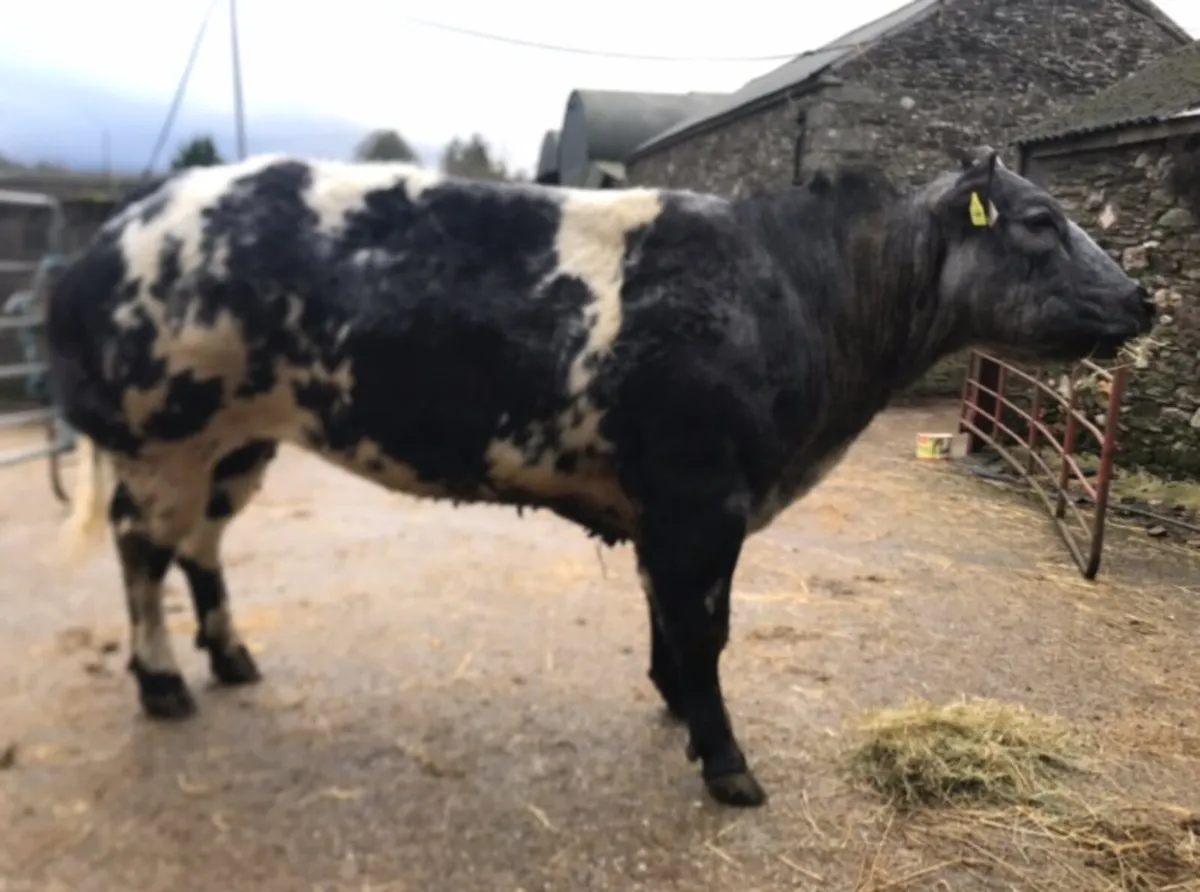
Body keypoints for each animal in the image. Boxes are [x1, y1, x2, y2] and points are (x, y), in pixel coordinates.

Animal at [45, 148, 1155, 808]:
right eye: (1041, 221)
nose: (1143, 299)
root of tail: (119, 226)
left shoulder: (672, 508)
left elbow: (670, 620)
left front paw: (675, 708)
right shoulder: (704, 495)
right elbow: (705, 628)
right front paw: (728, 764)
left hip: (237, 441)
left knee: (201, 547)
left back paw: (232, 659)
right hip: (162, 435)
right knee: (143, 551)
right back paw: (164, 685)